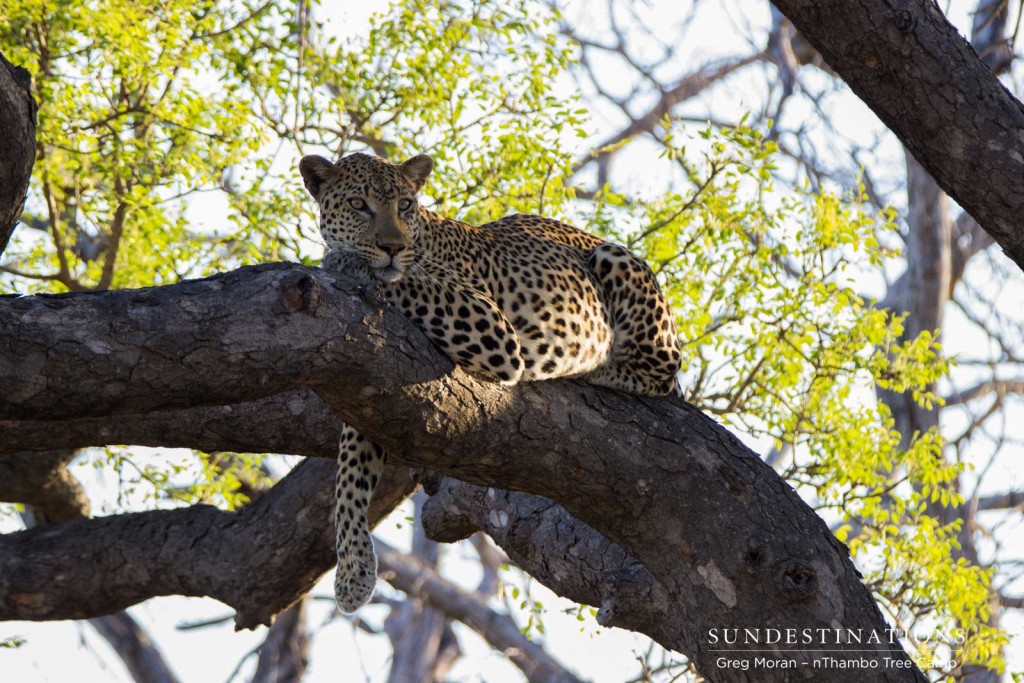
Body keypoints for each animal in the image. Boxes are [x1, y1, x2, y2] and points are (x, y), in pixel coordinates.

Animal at [299, 152, 679, 610]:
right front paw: (353, 572)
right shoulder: (372, 386)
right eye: (359, 205)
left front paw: (345, 262)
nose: (393, 248)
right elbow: (349, 474)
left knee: (661, 367)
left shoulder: (488, 324)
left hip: (617, 261)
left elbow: (405, 279)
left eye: (405, 206)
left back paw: (593, 361)